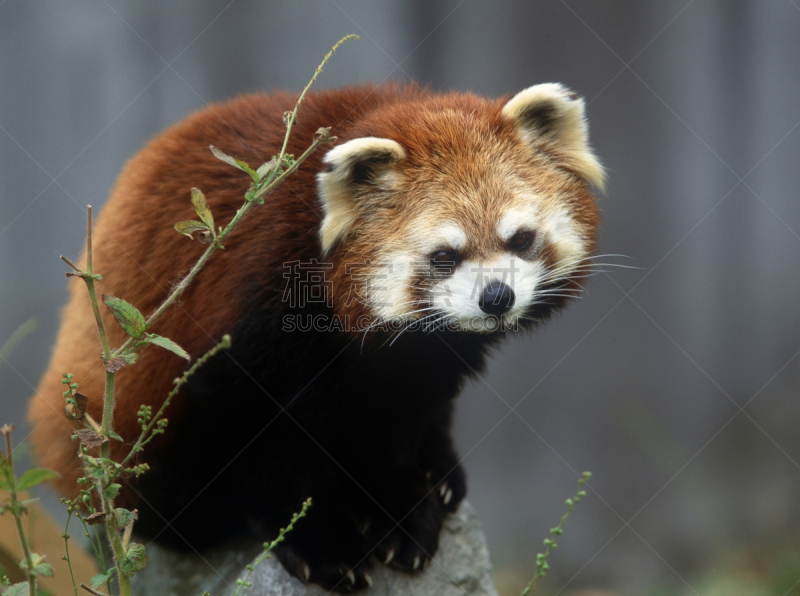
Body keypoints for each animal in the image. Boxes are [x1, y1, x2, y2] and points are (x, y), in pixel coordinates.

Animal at [28, 82, 604, 592]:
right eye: (444, 256)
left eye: (521, 240)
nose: (496, 297)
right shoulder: (254, 304)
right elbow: (256, 433)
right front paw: (322, 540)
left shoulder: (416, 363)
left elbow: (399, 420)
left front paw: (400, 510)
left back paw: (441, 472)